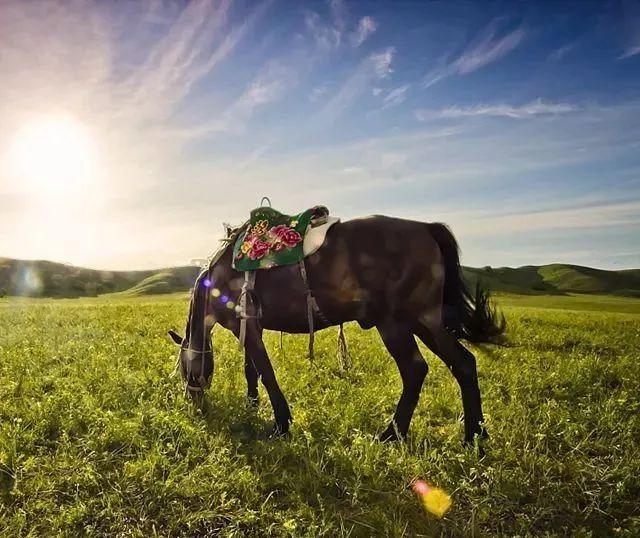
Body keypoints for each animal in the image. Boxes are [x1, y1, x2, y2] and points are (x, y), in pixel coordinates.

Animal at [169, 215, 504, 444]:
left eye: (185, 368)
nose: (193, 404)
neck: (219, 275)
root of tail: (425, 227)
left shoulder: (249, 327)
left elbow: (266, 373)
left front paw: (281, 424)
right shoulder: (252, 328)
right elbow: (251, 370)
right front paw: (252, 406)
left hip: (397, 324)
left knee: (415, 370)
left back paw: (392, 434)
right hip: (425, 322)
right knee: (463, 364)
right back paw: (475, 437)